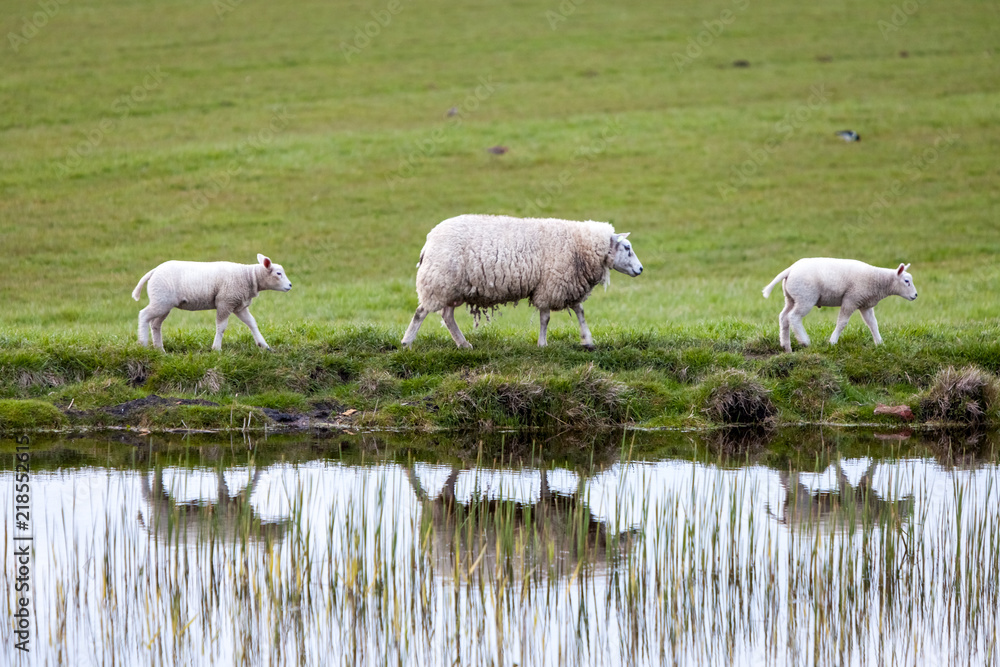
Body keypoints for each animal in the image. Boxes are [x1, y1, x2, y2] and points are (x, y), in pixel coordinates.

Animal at [132, 254, 292, 351]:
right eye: (278, 273)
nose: (290, 285)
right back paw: (143, 344)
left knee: (155, 324)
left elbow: (251, 323)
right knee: (143, 315)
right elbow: (221, 326)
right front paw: (216, 349)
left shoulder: (238, 305)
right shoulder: (225, 301)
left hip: (163, 303)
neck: (248, 277)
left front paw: (264, 345)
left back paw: (160, 350)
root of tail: (153, 271)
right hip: (161, 300)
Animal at [400, 214, 643, 350]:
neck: (580, 245)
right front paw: (543, 344)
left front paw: (587, 340)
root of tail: (429, 241)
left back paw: (464, 344)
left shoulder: (567, 285)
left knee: (447, 317)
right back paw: (407, 342)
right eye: (627, 248)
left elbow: (580, 312)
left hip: (452, 288)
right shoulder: (550, 285)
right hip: (438, 282)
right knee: (421, 312)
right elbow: (545, 318)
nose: (641, 269)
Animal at [762, 258, 917, 353]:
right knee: (793, 317)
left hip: (791, 298)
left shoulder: (864, 304)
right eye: (906, 281)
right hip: (806, 297)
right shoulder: (851, 299)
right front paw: (832, 342)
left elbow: (873, 324)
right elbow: (842, 323)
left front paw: (880, 343)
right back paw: (804, 341)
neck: (878, 281)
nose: (915, 295)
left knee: (783, 317)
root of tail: (790, 270)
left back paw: (786, 346)